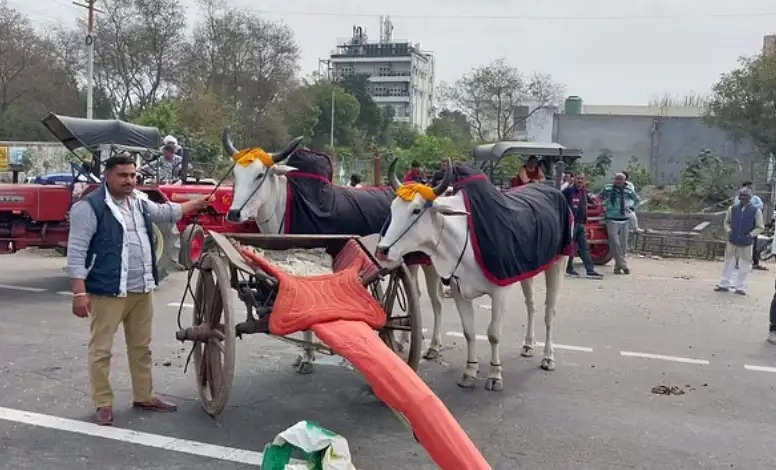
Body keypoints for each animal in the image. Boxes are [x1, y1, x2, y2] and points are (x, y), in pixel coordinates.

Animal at [221, 131, 446, 370]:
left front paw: (307, 357)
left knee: (436, 300)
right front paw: (307, 354)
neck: (284, 206)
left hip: (429, 263)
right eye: (235, 174)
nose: (234, 213)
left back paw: (432, 346)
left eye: (259, 175)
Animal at [376, 163, 564, 392]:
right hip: (525, 270)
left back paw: (548, 357)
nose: (382, 250)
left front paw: (495, 374)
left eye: (416, 210)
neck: (462, 239)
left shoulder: (499, 292)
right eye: (392, 209)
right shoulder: (459, 292)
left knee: (549, 312)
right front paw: (470, 371)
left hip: (557, 263)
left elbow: (493, 334)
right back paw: (528, 345)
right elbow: (469, 332)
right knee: (531, 305)